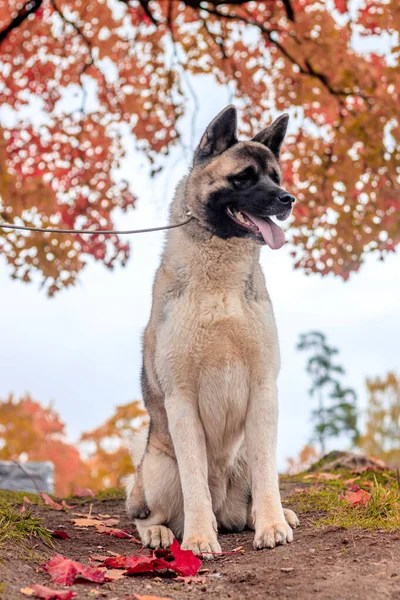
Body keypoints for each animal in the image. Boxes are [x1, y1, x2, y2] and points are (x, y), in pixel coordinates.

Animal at [126, 104, 300, 556]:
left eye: (276, 177)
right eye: (243, 178)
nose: (288, 199)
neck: (219, 284)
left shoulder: (263, 388)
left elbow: (267, 477)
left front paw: (272, 524)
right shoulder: (181, 400)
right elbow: (194, 483)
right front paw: (200, 538)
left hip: (245, 452)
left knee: (256, 485)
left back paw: (271, 515)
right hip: (158, 469)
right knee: (147, 514)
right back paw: (162, 532)